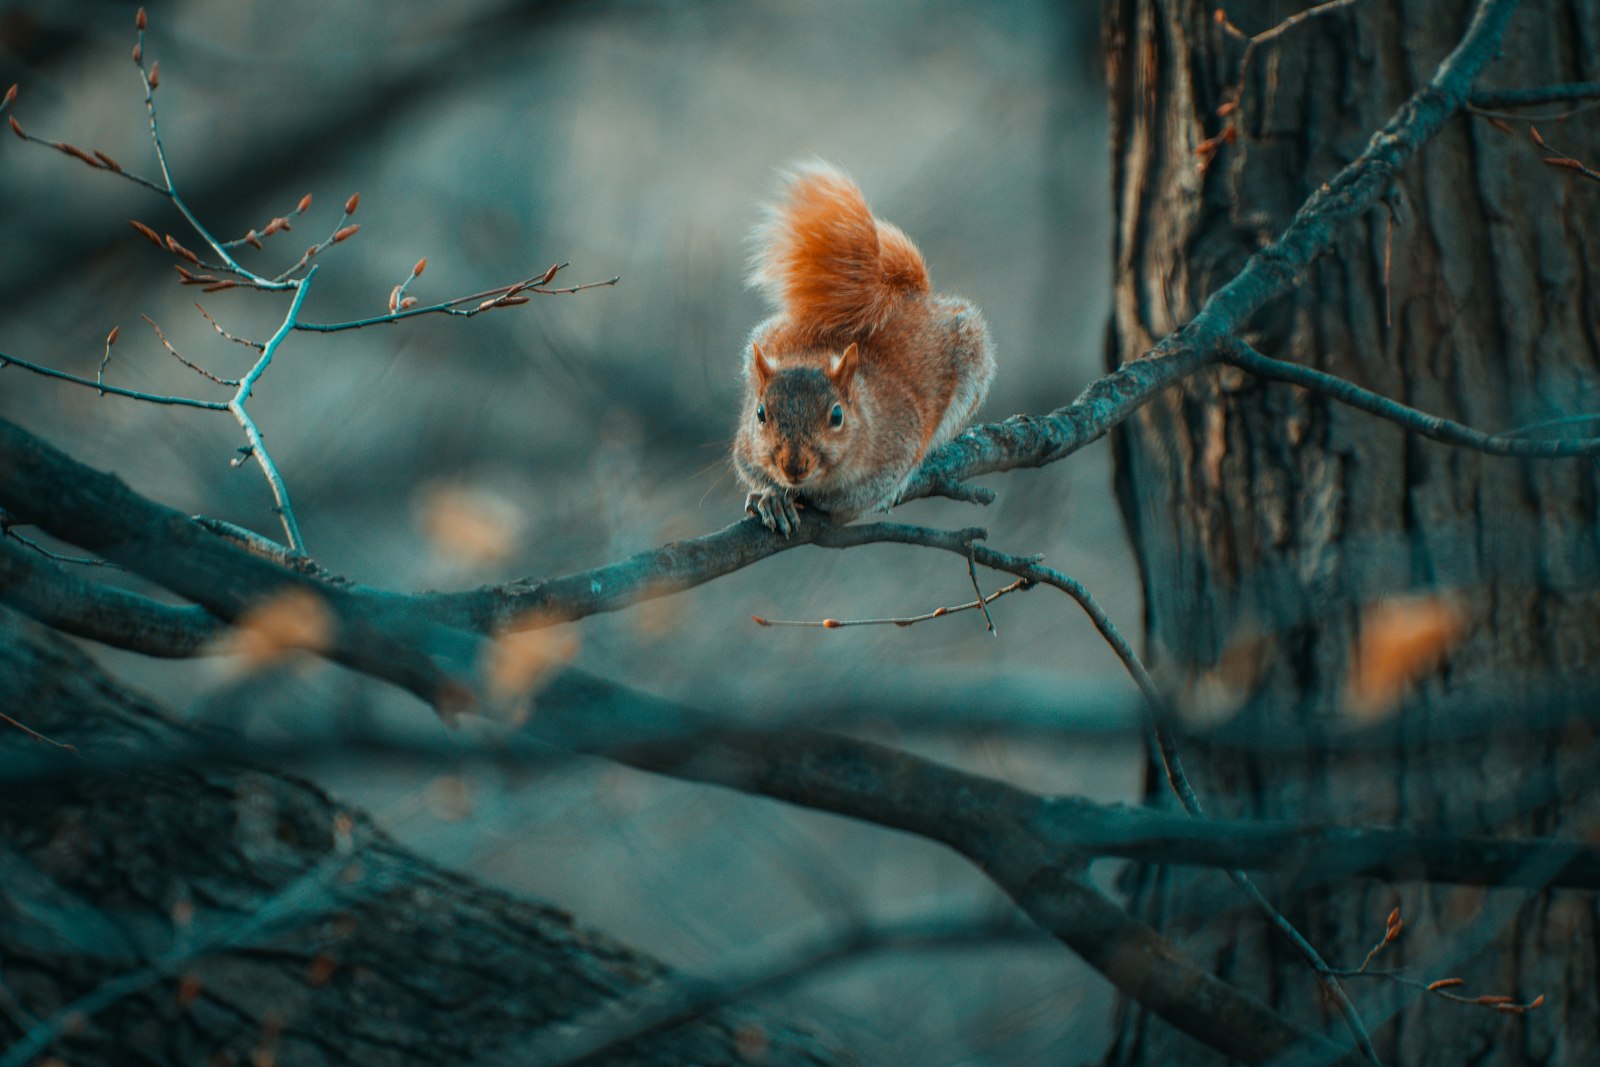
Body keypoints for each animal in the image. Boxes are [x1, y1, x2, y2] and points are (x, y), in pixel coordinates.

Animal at [732, 161, 985, 537]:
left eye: (836, 416)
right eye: (761, 414)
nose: (794, 466)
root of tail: (912, 294)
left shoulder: (896, 449)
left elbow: (860, 497)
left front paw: (814, 500)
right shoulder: (746, 446)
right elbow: (749, 466)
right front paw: (772, 497)